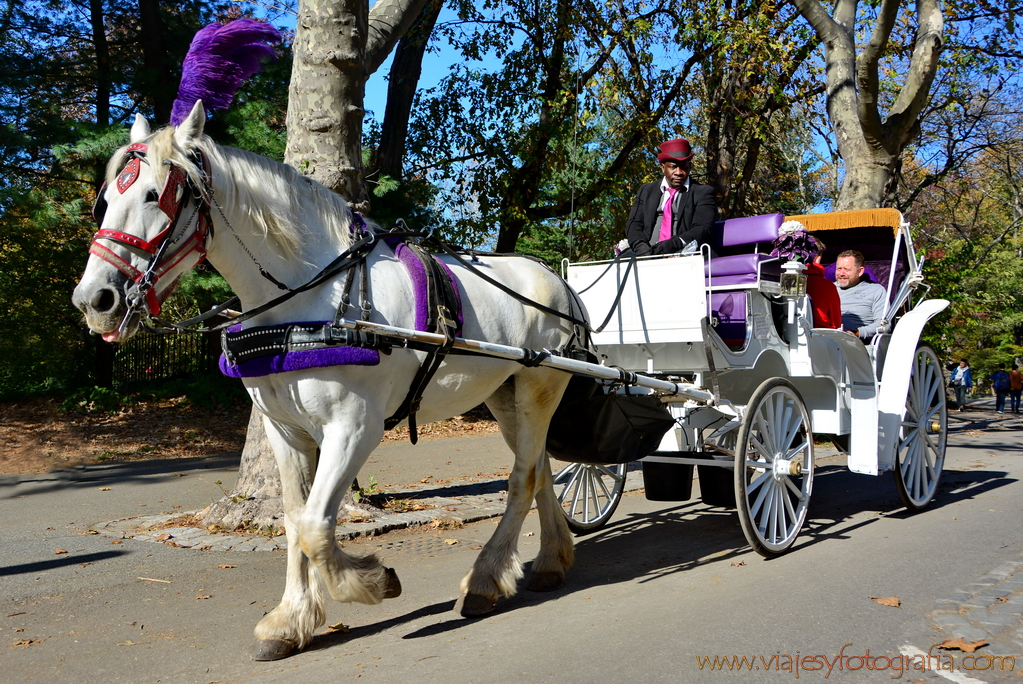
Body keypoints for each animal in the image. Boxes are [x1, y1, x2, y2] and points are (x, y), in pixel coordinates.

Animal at [72, 100, 585, 654]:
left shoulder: (354, 428)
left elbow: (317, 526)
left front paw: (371, 581)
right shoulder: (285, 431)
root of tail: (557, 281)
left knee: (523, 477)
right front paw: (291, 619)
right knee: (538, 467)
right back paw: (551, 560)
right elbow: (295, 520)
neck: (309, 298)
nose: (94, 300)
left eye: (155, 195)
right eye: (106, 200)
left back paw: (486, 580)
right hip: (506, 396)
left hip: (538, 388)